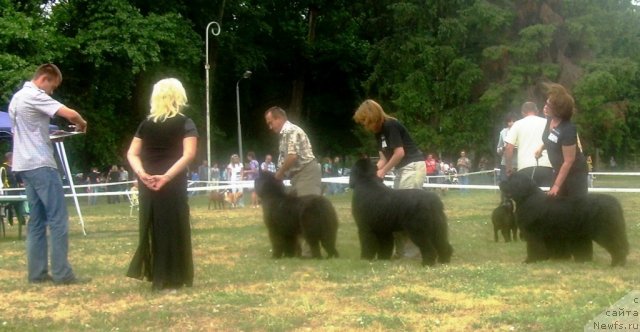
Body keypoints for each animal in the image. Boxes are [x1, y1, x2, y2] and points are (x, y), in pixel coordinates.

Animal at [498, 172, 628, 266]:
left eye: (510, 180)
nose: (500, 182)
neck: (527, 198)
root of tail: (614, 203)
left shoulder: (533, 234)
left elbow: (533, 248)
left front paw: (530, 260)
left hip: (605, 231)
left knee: (617, 245)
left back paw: (616, 263)